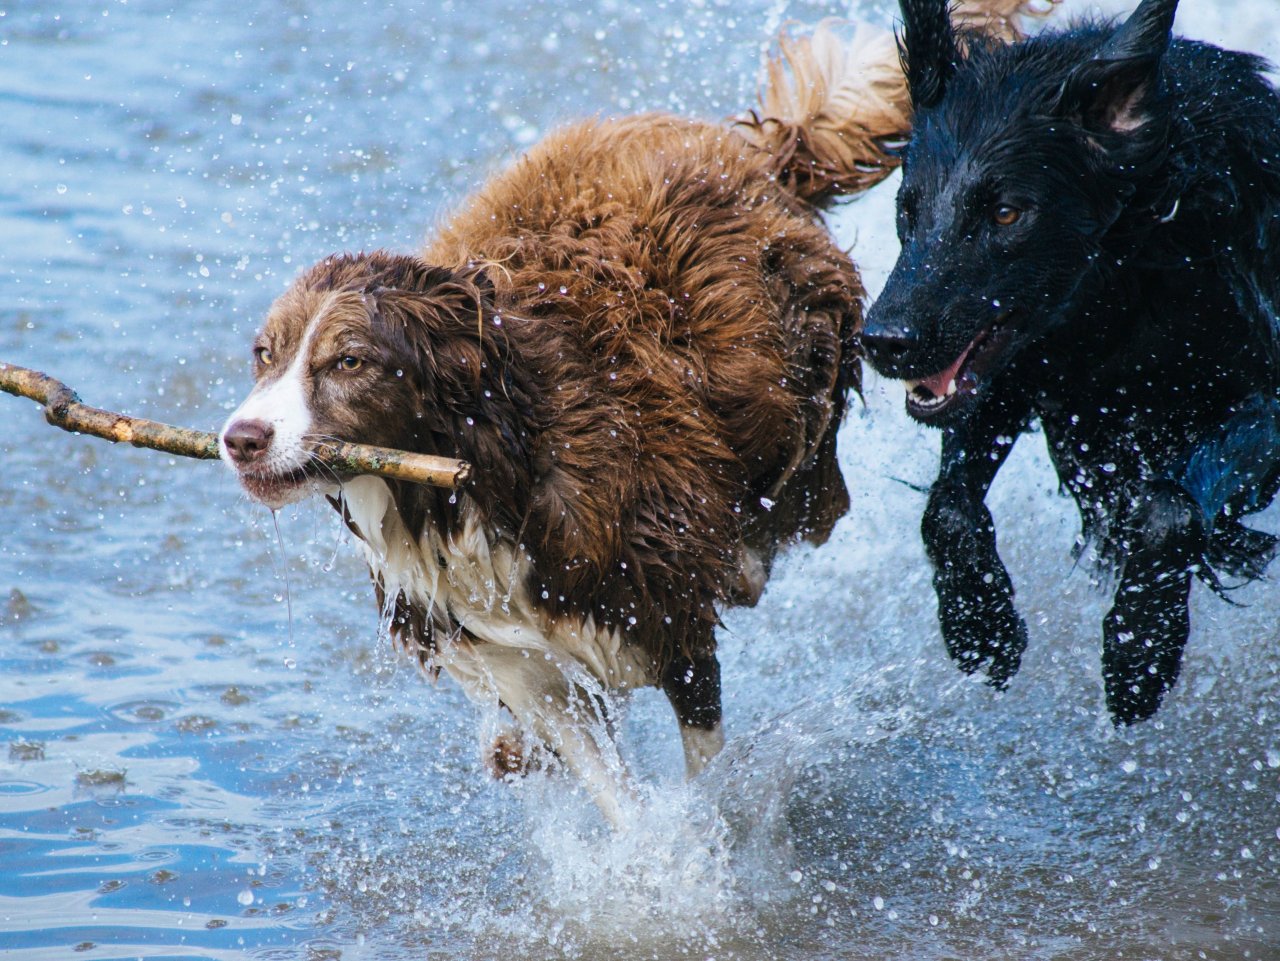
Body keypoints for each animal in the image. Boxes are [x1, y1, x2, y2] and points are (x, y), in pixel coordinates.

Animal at [222, 1, 1059, 829]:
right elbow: (603, 777)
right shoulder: (517, 654)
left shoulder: (665, 613)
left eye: (349, 362)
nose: (240, 438)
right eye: (264, 353)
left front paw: (704, 842)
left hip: (802, 375)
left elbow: (702, 760)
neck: (477, 471)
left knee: (798, 485)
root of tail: (758, 150)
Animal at [860, 0, 1280, 721]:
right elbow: (946, 509)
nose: (884, 340)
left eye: (1006, 212)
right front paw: (981, 626)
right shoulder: (1015, 374)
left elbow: (1168, 509)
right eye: (907, 209)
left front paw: (1140, 648)